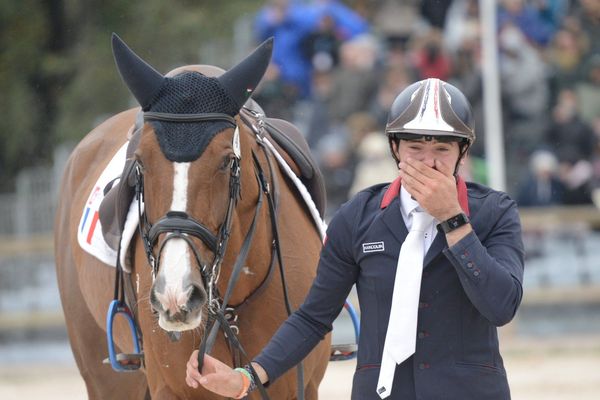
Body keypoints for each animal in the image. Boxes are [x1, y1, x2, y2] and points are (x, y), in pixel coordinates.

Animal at [54, 35, 330, 400]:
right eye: (139, 162)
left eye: (227, 161)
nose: (176, 295)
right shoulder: (170, 387)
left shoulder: (301, 385)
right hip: (105, 374)